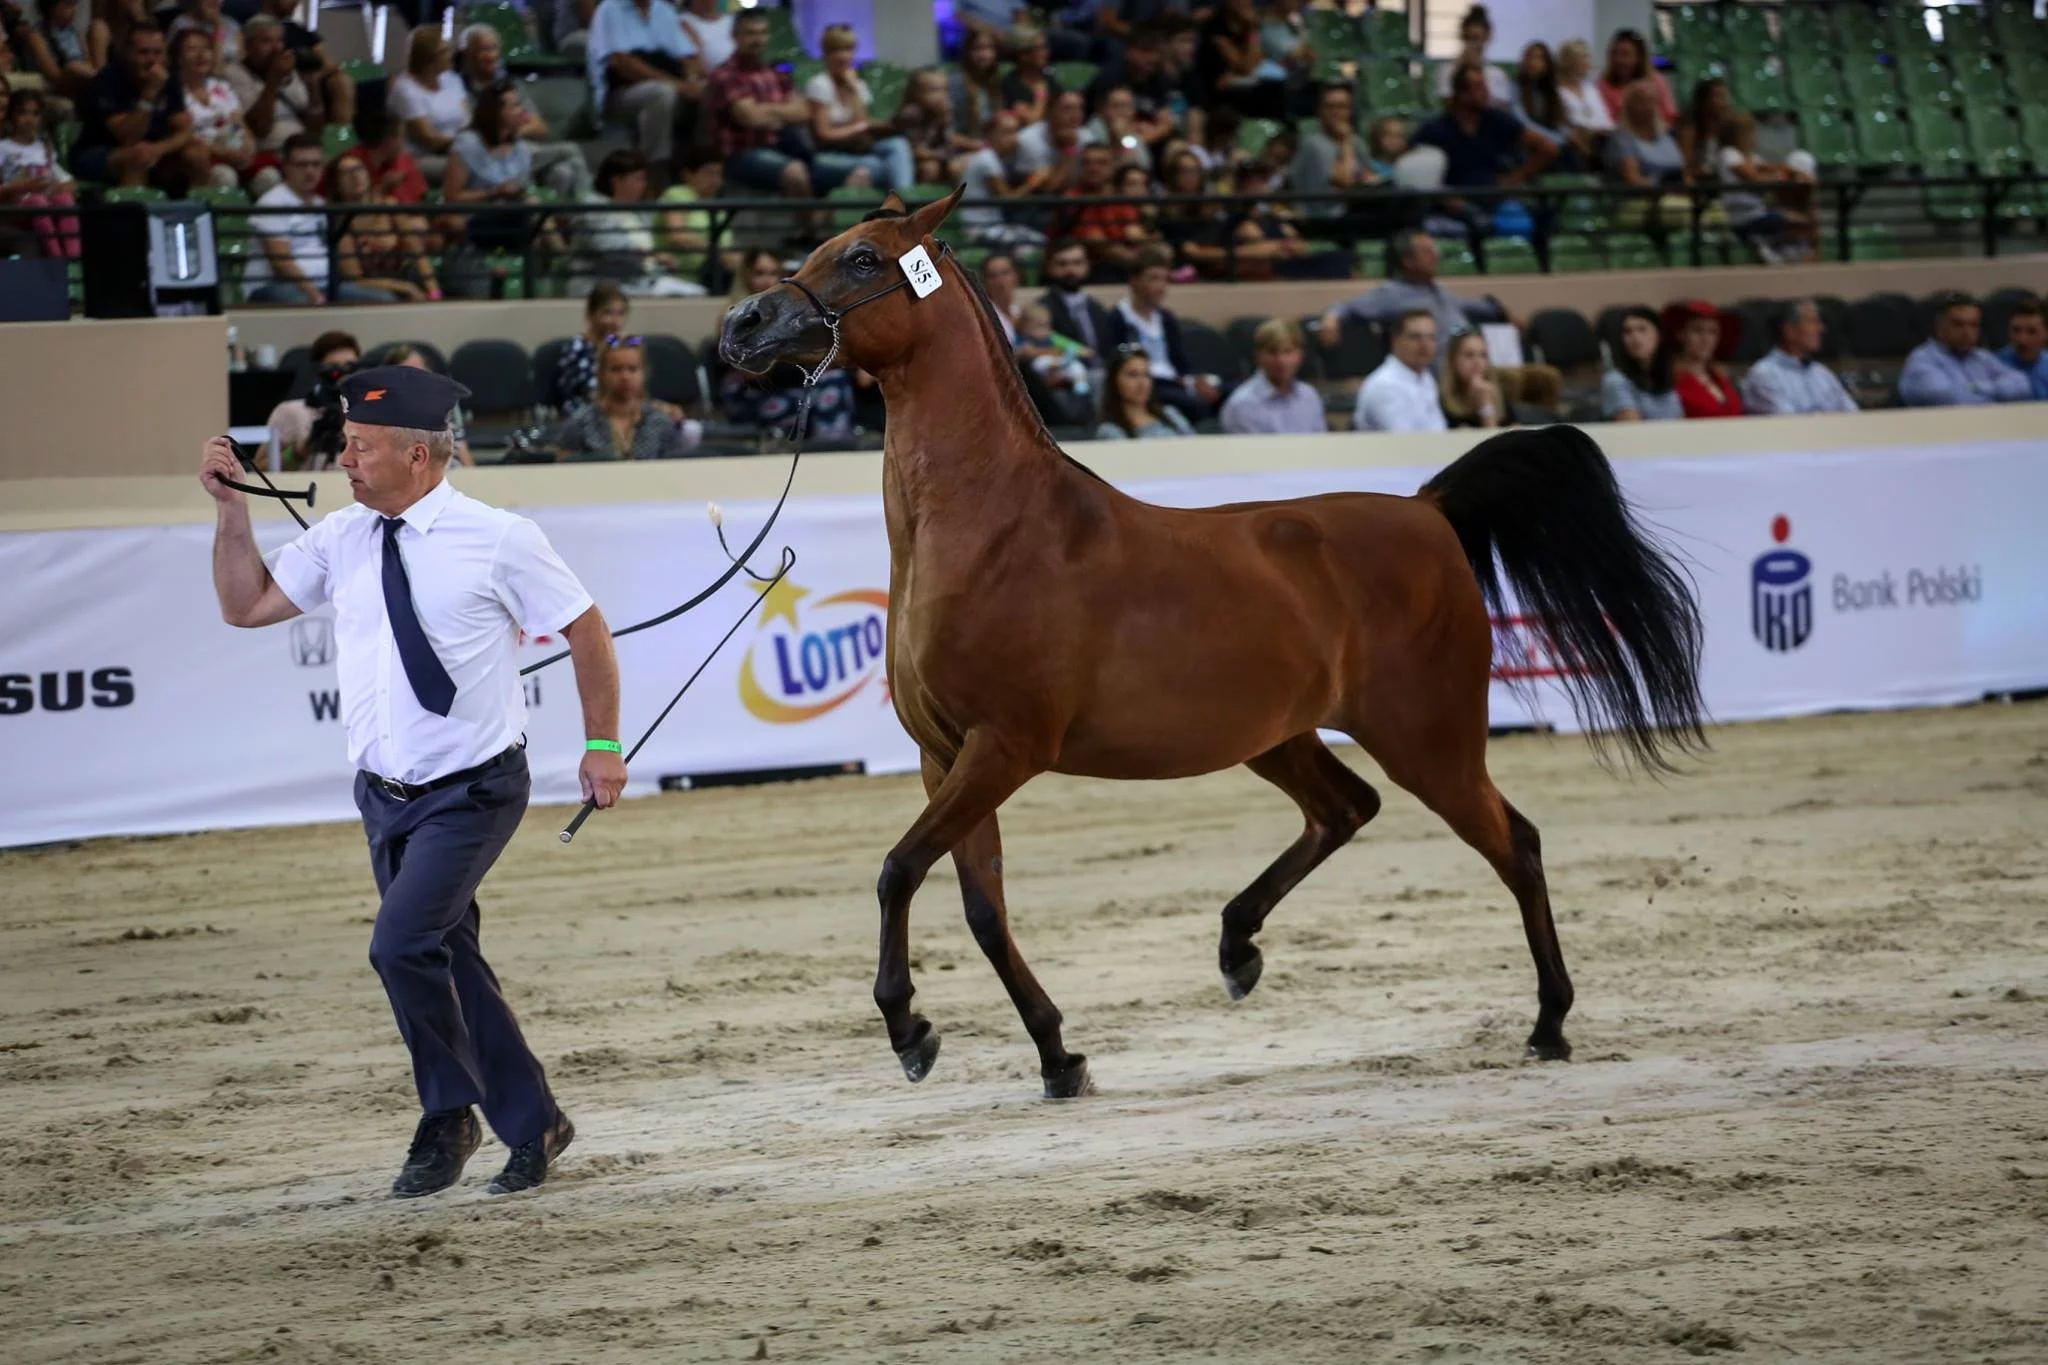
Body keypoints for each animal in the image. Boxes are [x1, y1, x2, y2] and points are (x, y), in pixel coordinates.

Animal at [720, 189, 1712, 1096]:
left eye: (861, 258)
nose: (743, 323)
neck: (994, 528)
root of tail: (1427, 510)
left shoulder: (1004, 748)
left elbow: (898, 871)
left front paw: (910, 1030)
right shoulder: (945, 756)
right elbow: (980, 907)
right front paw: (1057, 1056)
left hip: (1426, 739)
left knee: (1516, 843)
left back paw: (1548, 1023)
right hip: (1278, 735)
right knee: (1347, 807)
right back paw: (1239, 948)